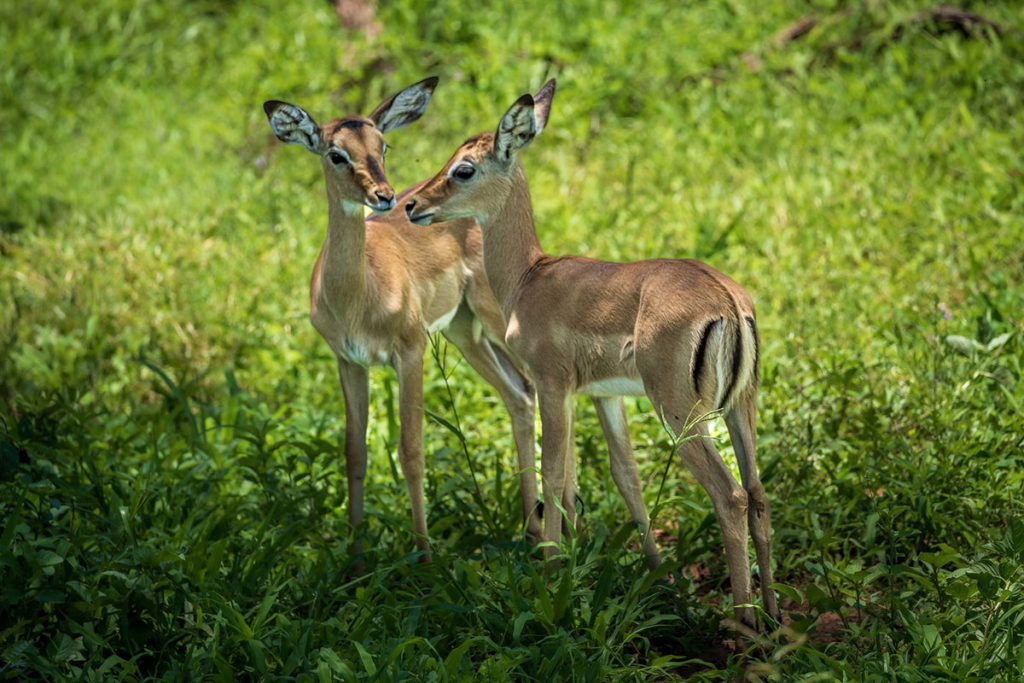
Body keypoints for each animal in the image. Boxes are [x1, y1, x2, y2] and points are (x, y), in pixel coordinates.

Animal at [262, 77, 540, 565]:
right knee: (519, 398)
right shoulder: (349, 361)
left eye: (383, 145)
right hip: (464, 332)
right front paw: (354, 560)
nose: (386, 196)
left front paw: (425, 560)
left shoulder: (410, 353)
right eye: (335, 153)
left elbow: (411, 452)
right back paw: (531, 531)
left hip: (495, 321)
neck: (359, 294)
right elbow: (355, 452)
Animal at [403, 80, 779, 625]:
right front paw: (654, 574)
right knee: (757, 493)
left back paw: (744, 621)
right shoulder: (603, 395)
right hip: (738, 408)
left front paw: (551, 572)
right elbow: (622, 477)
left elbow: (553, 473)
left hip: (682, 415)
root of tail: (728, 301)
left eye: (464, 168)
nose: (411, 205)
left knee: (728, 495)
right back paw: (773, 615)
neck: (529, 276)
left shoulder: (552, 385)